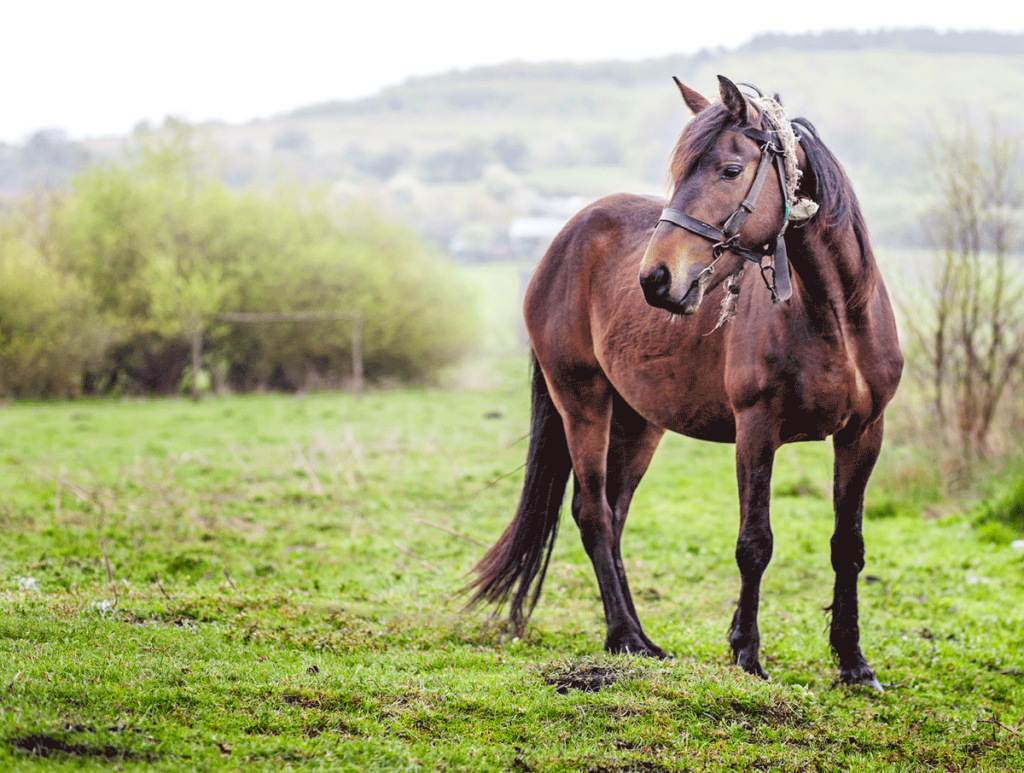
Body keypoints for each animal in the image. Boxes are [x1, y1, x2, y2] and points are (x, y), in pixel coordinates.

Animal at [468, 75, 903, 690]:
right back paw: (625, 637)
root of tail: (565, 240)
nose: (655, 278)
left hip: (639, 421)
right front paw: (747, 654)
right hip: (582, 401)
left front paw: (853, 663)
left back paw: (640, 638)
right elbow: (755, 543)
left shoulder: (864, 433)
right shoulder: (756, 431)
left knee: (614, 514)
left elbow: (849, 545)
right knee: (593, 514)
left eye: (729, 169)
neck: (836, 319)